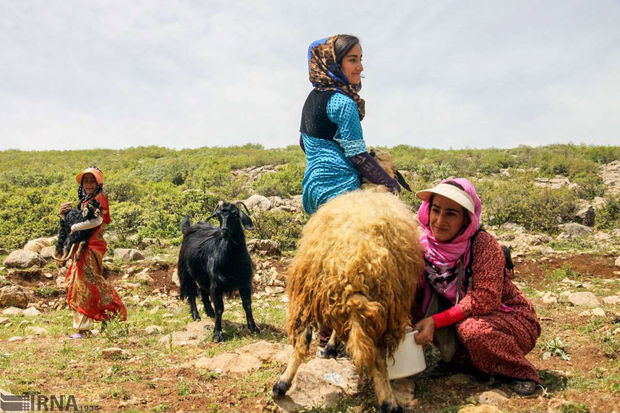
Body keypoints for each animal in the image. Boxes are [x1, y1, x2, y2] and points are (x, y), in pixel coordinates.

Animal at [177, 200, 260, 342]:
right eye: (218, 216)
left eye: (235, 214)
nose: (224, 230)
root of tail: (188, 228)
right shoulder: (216, 285)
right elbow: (220, 308)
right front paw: (217, 334)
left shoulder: (245, 282)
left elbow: (247, 304)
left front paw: (254, 328)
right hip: (186, 272)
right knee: (191, 293)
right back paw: (196, 316)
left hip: (203, 276)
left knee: (203, 291)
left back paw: (209, 312)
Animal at [274, 187, 424, 412]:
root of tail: (354, 263)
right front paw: (331, 346)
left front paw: (331, 346)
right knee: (375, 357)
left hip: (309, 293)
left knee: (302, 341)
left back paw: (282, 384)